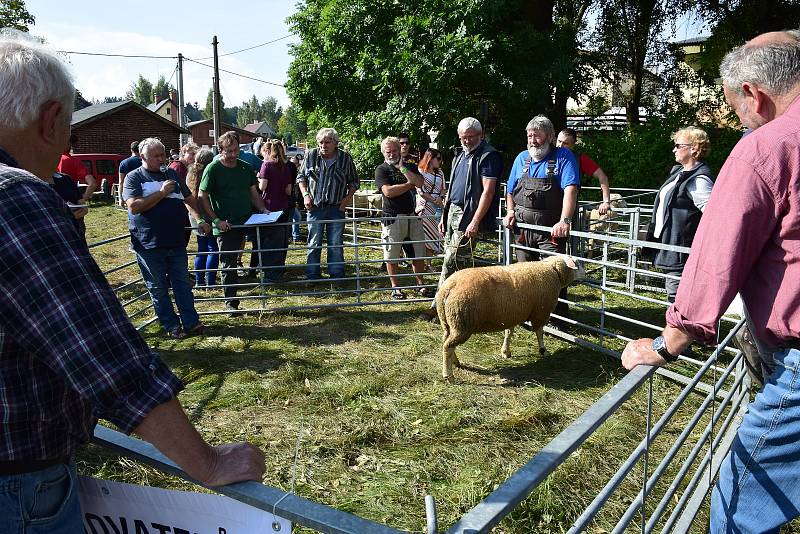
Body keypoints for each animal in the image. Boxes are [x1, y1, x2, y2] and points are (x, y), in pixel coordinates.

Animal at [434, 255, 584, 382]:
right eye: (577, 263)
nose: (586, 273)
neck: (553, 271)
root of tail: (448, 287)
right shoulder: (540, 312)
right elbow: (539, 332)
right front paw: (543, 350)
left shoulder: (511, 315)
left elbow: (508, 333)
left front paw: (505, 352)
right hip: (461, 323)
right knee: (448, 346)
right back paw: (448, 375)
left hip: (449, 322)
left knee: (445, 341)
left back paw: (456, 362)